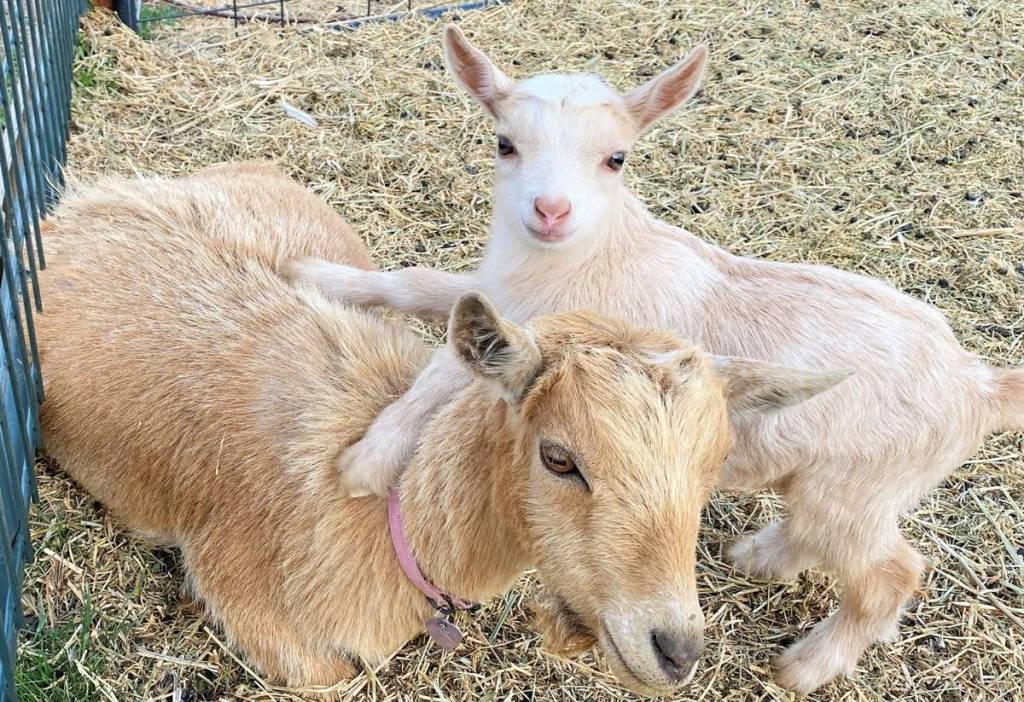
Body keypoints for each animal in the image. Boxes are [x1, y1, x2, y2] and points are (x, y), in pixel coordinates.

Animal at [36, 162, 839, 696]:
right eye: (559, 458)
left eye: (710, 470)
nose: (675, 649)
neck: (391, 525)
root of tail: (90, 197)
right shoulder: (249, 598)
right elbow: (328, 674)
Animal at [285, 27, 1024, 694]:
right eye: (505, 143)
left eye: (616, 158)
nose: (551, 211)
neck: (579, 256)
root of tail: (979, 382)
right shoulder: (501, 301)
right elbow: (420, 285)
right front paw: (317, 275)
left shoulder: (551, 338)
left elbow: (445, 370)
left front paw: (365, 461)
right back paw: (759, 555)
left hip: (857, 488)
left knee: (890, 573)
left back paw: (808, 664)